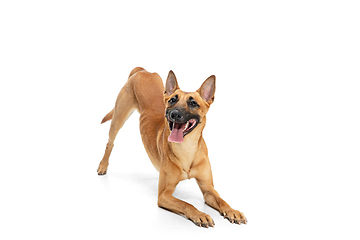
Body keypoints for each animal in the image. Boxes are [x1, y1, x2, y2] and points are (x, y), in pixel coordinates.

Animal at [97, 67, 246, 227]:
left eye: (193, 103)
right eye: (173, 100)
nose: (174, 114)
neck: (186, 148)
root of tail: (143, 71)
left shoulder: (208, 190)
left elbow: (222, 200)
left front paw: (233, 211)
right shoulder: (164, 195)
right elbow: (186, 204)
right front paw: (200, 214)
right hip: (118, 118)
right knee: (110, 143)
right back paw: (103, 166)